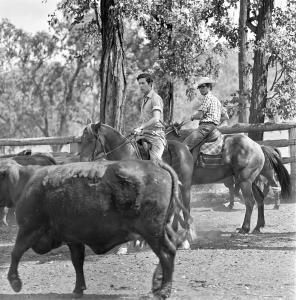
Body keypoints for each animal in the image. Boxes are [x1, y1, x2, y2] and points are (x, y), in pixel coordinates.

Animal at [0, 158, 188, 298]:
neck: (25, 182)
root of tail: (155, 164)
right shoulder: (73, 239)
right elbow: (77, 262)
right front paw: (78, 289)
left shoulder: (29, 229)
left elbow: (16, 252)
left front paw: (15, 282)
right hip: (162, 228)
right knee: (171, 247)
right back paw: (157, 284)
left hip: (152, 231)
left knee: (166, 252)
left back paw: (163, 291)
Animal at [78, 122, 290, 234]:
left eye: (88, 139)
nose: (81, 159)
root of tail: (257, 145)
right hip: (251, 180)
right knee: (259, 199)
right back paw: (258, 226)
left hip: (245, 181)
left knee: (250, 202)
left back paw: (245, 228)